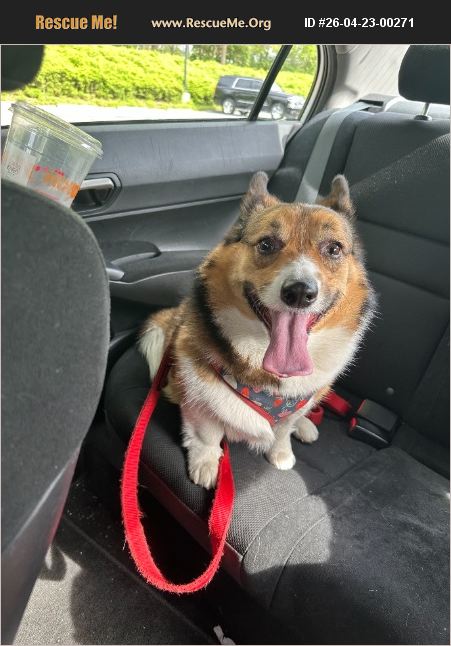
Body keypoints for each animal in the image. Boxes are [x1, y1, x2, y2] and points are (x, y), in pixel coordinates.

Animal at [139, 172, 375, 489]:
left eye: (334, 249)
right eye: (266, 244)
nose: (299, 292)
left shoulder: (299, 400)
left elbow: (284, 428)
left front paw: (282, 453)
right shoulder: (196, 392)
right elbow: (206, 432)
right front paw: (206, 464)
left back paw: (306, 425)